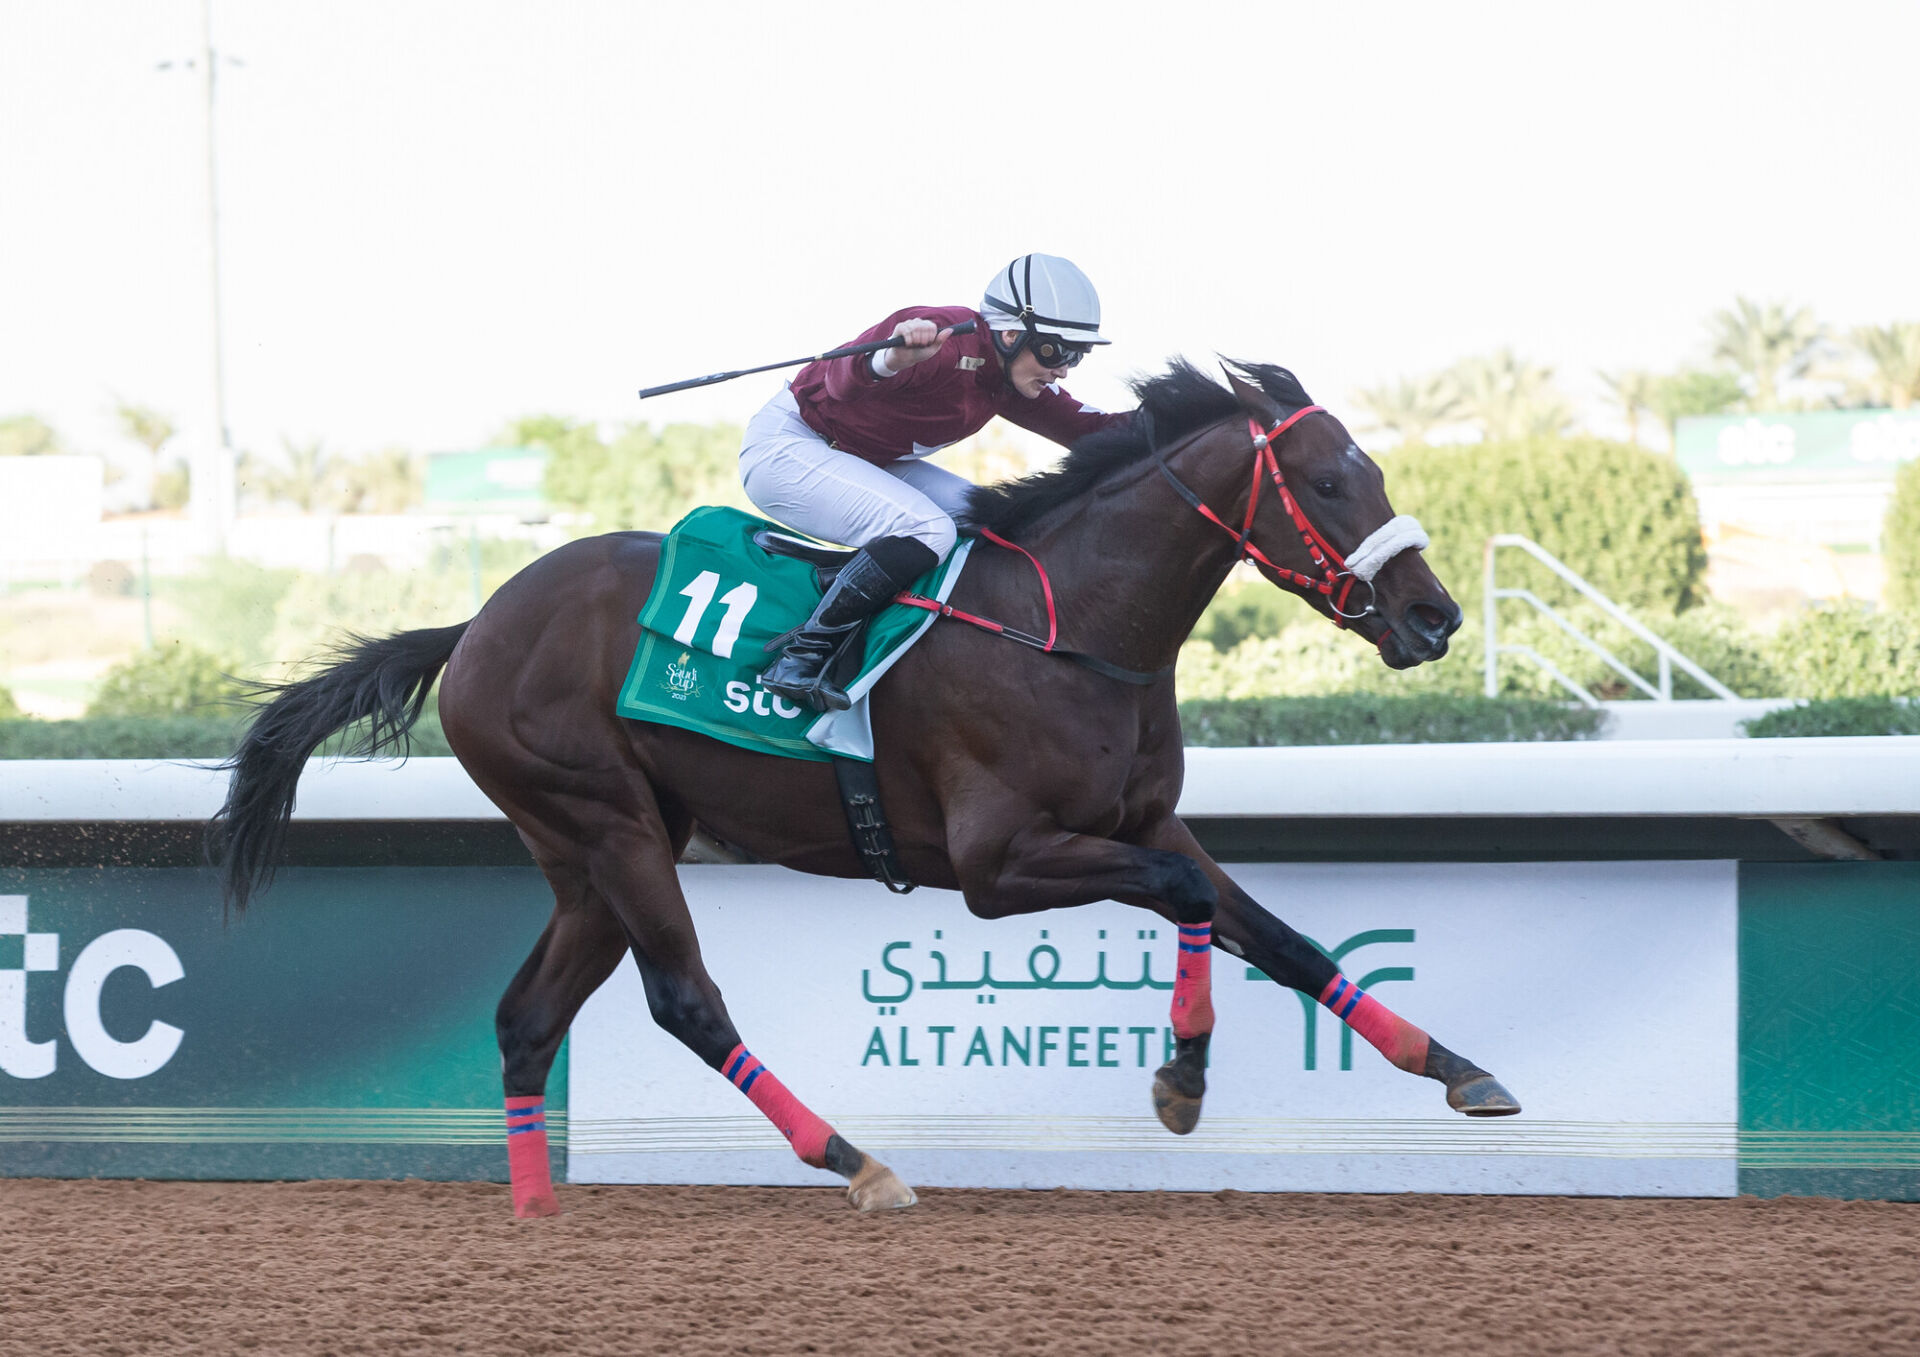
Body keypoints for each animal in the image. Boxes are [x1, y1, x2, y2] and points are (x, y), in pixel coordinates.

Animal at [214, 360, 1512, 1220]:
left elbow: (1277, 935)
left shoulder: (1145, 819)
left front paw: (1456, 1068)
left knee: (529, 1019)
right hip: (607, 820)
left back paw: (537, 1213)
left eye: (1372, 469)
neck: (1070, 626)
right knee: (686, 1001)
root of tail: (477, 621)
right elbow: (1183, 898)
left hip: (585, 852)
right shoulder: (998, 864)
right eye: (1331, 479)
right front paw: (1182, 1082)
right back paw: (857, 1161)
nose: (1434, 617)